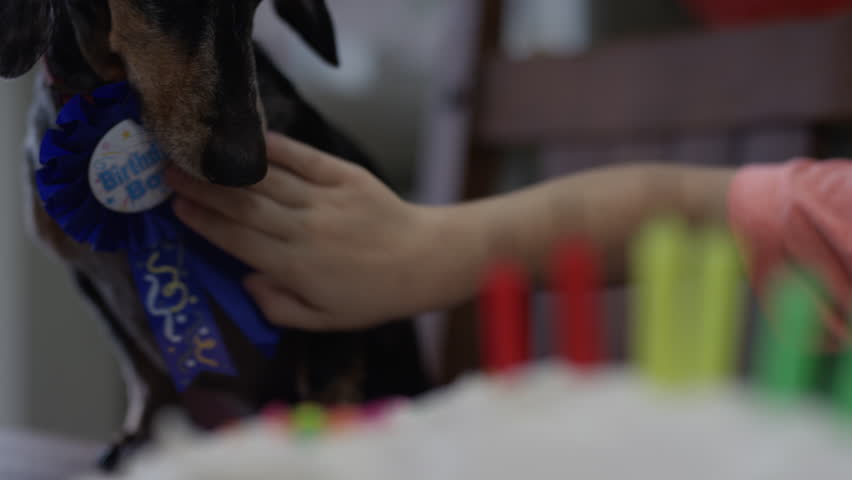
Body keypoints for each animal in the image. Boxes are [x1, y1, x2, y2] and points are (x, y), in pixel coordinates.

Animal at [0, 0, 426, 472]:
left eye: (257, 4)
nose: (245, 167)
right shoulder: (89, 280)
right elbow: (143, 370)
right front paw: (140, 438)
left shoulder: (330, 291)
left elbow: (328, 384)